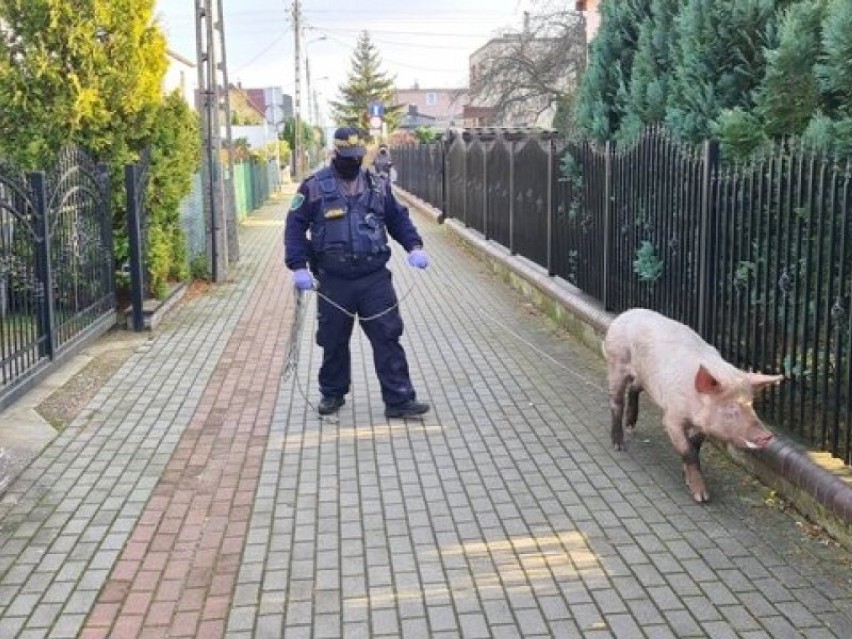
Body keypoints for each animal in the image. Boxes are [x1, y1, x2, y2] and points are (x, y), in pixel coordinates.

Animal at [604, 308, 784, 502]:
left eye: (751, 405)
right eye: (731, 409)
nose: (767, 435)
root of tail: (626, 314)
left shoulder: (703, 426)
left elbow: (695, 445)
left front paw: (687, 479)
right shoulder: (672, 417)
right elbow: (687, 449)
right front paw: (702, 497)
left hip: (644, 377)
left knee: (634, 387)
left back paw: (631, 426)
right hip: (617, 363)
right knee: (616, 401)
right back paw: (619, 445)